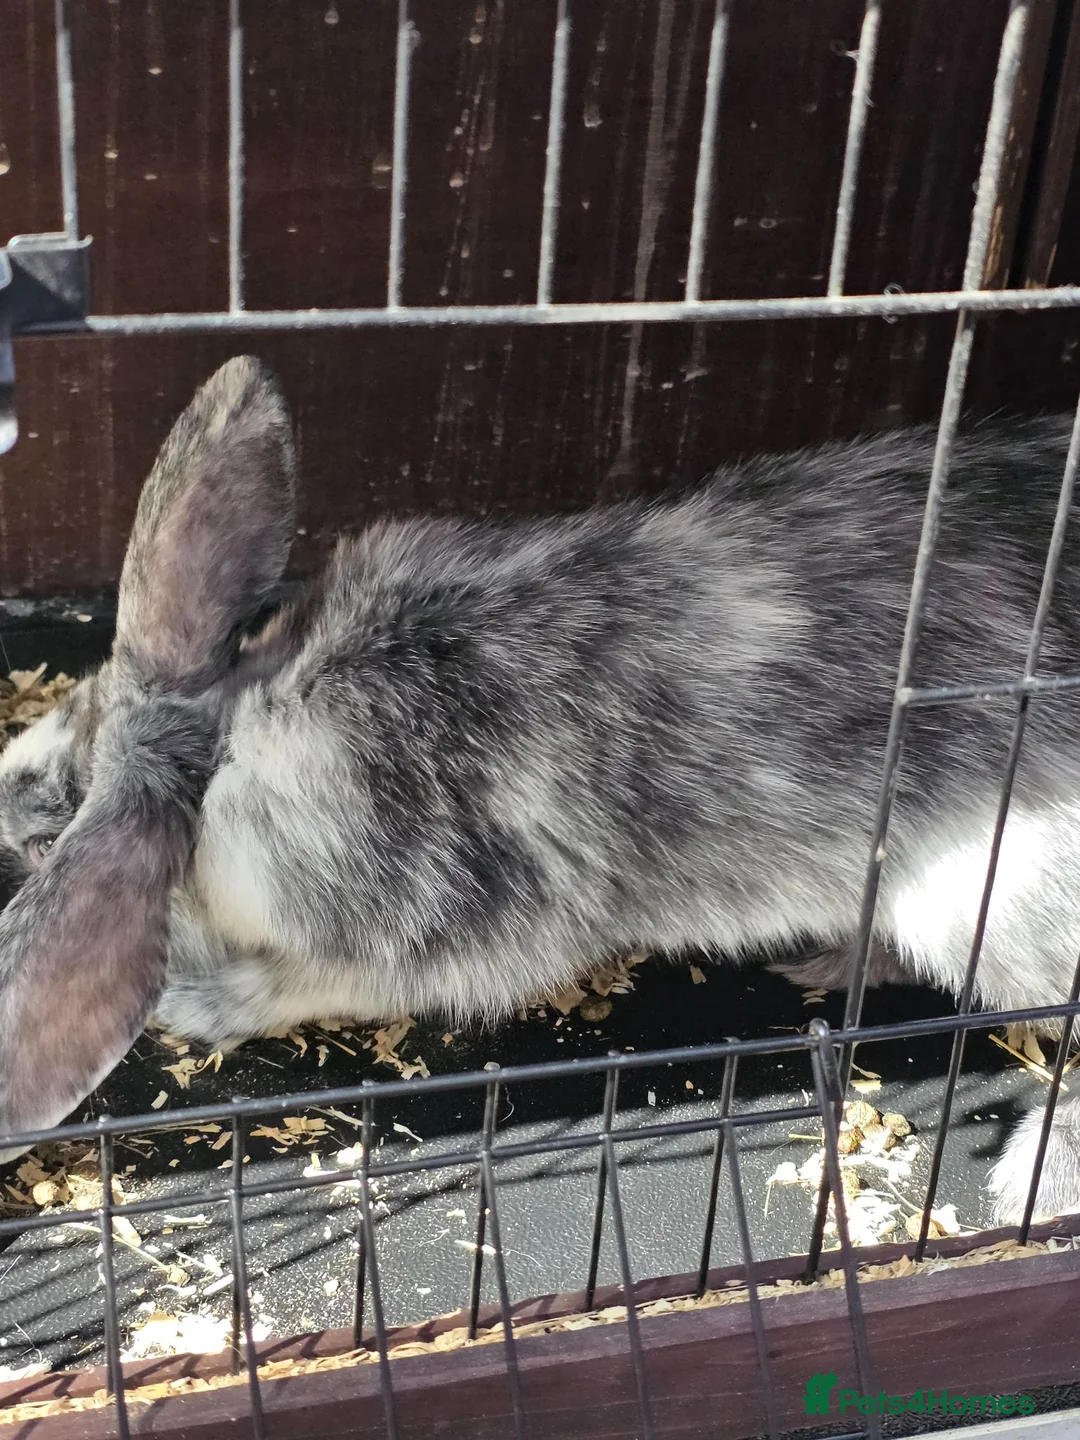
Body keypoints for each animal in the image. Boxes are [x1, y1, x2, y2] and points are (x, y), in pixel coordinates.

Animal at [0, 355, 1079, 1232]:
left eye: (49, 840)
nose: (11, 798)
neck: (235, 742)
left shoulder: (442, 941)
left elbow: (303, 983)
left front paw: (199, 1003)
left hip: (990, 904)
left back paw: (1029, 1181)